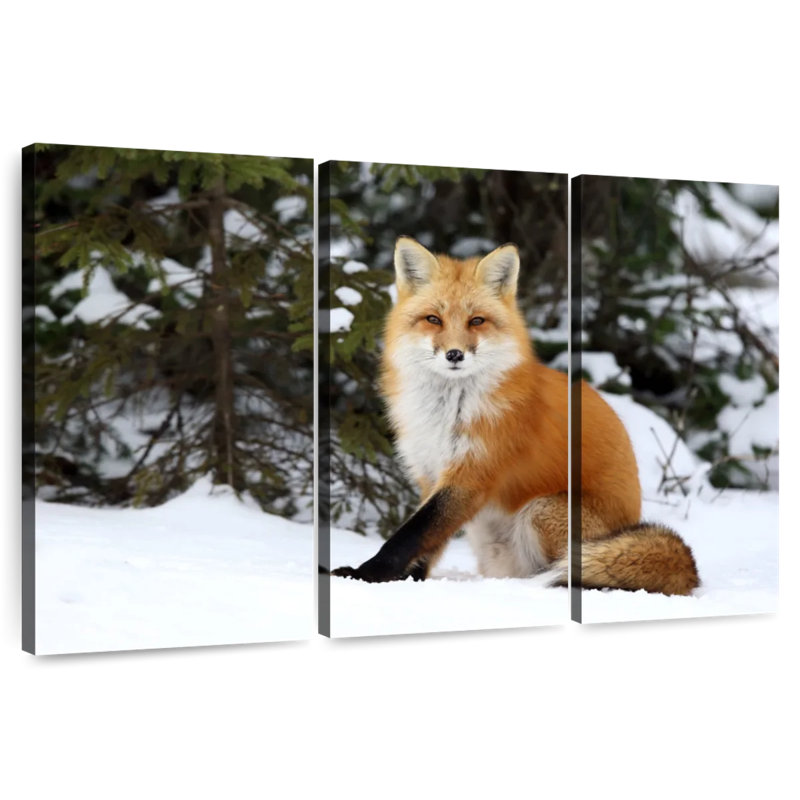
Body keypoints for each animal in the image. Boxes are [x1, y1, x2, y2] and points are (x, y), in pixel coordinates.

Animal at [331, 236, 699, 595]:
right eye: (433, 319)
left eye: (476, 321)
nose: (455, 354)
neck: (448, 410)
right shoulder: (431, 473)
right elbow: (428, 541)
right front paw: (408, 582)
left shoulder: (472, 474)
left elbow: (410, 535)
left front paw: (364, 575)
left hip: (542, 510)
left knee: (571, 569)